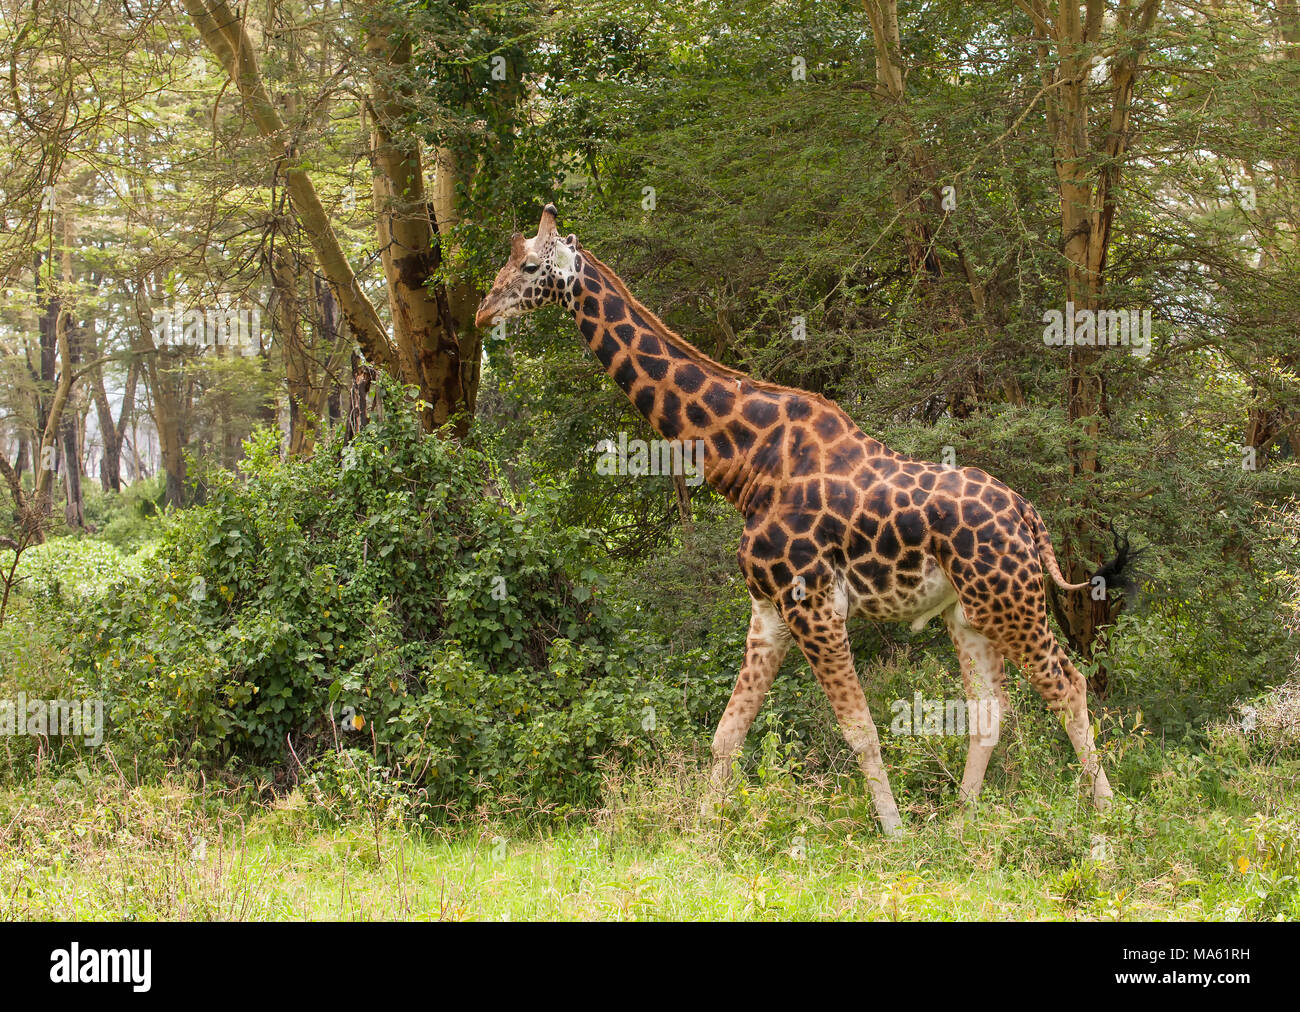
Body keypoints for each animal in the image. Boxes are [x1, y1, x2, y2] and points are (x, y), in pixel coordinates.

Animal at [475, 204, 1114, 836]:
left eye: (529, 266)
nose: (483, 311)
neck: (746, 461)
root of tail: (1030, 516)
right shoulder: (768, 609)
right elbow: (727, 732)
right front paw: (703, 830)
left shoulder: (813, 604)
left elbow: (861, 731)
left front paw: (895, 836)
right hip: (970, 612)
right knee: (988, 711)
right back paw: (961, 826)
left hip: (1013, 603)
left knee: (1069, 685)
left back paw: (1109, 821)